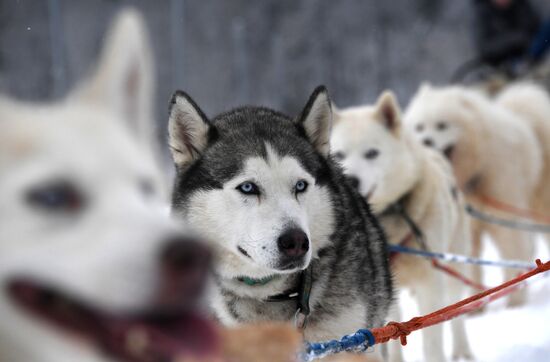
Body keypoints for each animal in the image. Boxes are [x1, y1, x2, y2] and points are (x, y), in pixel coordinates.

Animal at [330, 90, 476, 362]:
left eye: (372, 153)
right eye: (340, 156)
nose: (352, 179)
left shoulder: (430, 284)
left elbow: (433, 340)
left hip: (452, 264)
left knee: (455, 314)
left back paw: (462, 351)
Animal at [406, 82, 544, 306]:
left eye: (442, 125)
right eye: (419, 127)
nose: (425, 141)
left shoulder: (504, 220)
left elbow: (512, 253)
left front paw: (514, 301)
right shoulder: (470, 228)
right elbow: (472, 267)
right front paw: (476, 305)